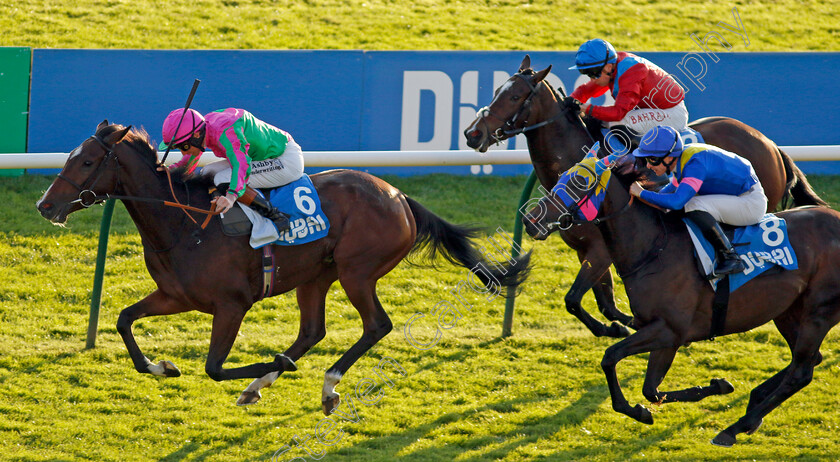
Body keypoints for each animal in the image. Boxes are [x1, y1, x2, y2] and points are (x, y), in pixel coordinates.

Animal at [37, 122, 532, 416]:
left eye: (86, 161)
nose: (45, 206)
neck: (186, 223)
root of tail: (397, 195)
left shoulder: (231, 305)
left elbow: (214, 367)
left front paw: (269, 364)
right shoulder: (176, 295)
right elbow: (124, 319)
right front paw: (162, 367)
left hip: (356, 271)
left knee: (376, 325)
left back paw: (323, 383)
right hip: (316, 276)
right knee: (313, 330)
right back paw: (268, 380)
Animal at [462, 56, 824, 342]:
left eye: (515, 96)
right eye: (496, 92)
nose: (472, 133)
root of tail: (771, 145)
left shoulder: (601, 250)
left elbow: (575, 299)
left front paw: (620, 326)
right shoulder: (587, 249)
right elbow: (602, 301)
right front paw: (619, 325)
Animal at [520, 152, 840, 448]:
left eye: (579, 182)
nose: (530, 219)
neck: (653, 248)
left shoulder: (670, 330)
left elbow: (611, 357)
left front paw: (641, 409)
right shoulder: (661, 333)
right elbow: (650, 389)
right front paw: (715, 386)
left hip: (819, 312)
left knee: (801, 372)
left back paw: (735, 427)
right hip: (787, 310)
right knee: (810, 360)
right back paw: (754, 404)